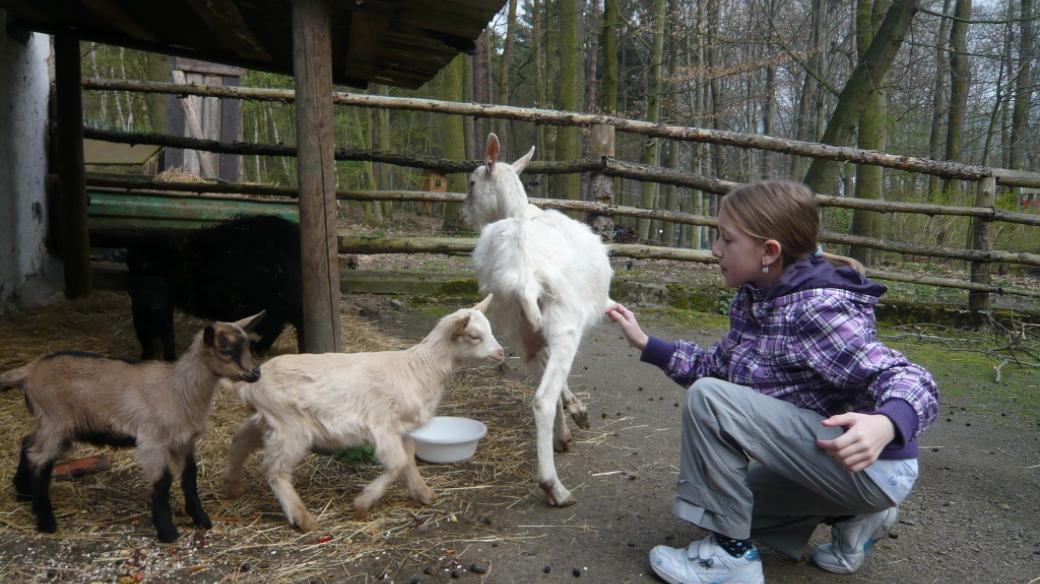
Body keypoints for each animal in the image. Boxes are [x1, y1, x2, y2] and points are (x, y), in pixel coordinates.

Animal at [225, 297, 505, 529]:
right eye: (474, 335)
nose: (501, 353)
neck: (418, 369)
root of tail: (251, 384)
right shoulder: (383, 426)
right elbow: (397, 463)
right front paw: (362, 503)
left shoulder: (401, 428)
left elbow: (409, 459)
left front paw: (423, 494)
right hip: (290, 425)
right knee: (275, 470)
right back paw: (303, 519)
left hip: (268, 420)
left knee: (240, 440)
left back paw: (234, 487)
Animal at [459, 131, 611, 505]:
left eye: (471, 182)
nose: (461, 215)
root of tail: (524, 278)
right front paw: (578, 415)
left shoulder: (532, 331)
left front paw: (570, 421)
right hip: (564, 321)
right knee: (542, 398)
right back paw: (553, 486)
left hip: (517, 327)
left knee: (541, 378)